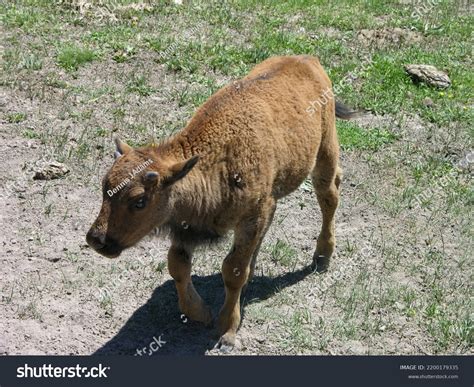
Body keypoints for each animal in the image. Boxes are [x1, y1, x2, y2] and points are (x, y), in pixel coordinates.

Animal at [86, 55, 360, 354]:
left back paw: (322, 256)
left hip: (325, 153)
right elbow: (177, 265)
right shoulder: (187, 227)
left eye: (139, 201)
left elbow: (232, 270)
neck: (215, 161)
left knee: (329, 197)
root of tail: (307, 60)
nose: (96, 239)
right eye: (104, 188)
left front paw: (226, 332)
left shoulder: (251, 217)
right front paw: (200, 313)